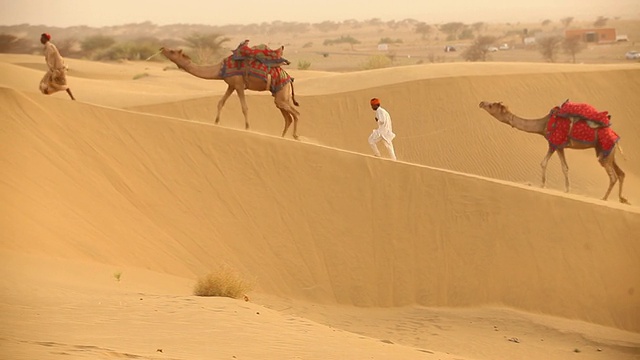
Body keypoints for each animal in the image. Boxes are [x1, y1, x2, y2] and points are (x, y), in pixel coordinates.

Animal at [160, 39, 300, 139]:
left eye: (172, 52)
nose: (162, 48)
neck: (220, 69)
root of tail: (289, 78)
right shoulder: (231, 85)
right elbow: (220, 102)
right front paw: (216, 122)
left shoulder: (239, 85)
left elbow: (244, 107)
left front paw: (247, 127)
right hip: (280, 96)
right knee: (287, 117)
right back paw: (283, 137)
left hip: (282, 94)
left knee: (296, 113)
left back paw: (295, 136)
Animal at [478, 100, 628, 204]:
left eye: (492, 106)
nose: (481, 103)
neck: (543, 124)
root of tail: (615, 136)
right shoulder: (559, 146)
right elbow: (564, 167)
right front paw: (566, 189)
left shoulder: (553, 143)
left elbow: (544, 163)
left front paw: (543, 185)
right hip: (606, 151)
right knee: (621, 173)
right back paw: (622, 199)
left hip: (604, 152)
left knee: (613, 176)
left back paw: (604, 198)